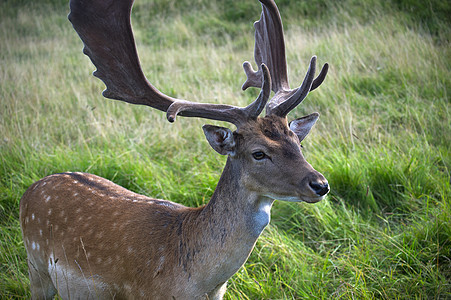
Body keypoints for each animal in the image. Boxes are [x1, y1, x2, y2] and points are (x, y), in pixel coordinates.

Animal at [19, 0, 330, 298]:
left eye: (298, 142)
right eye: (258, 153)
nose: (321, 184)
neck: (196, 285)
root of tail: (32, 188)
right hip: (36, 267)